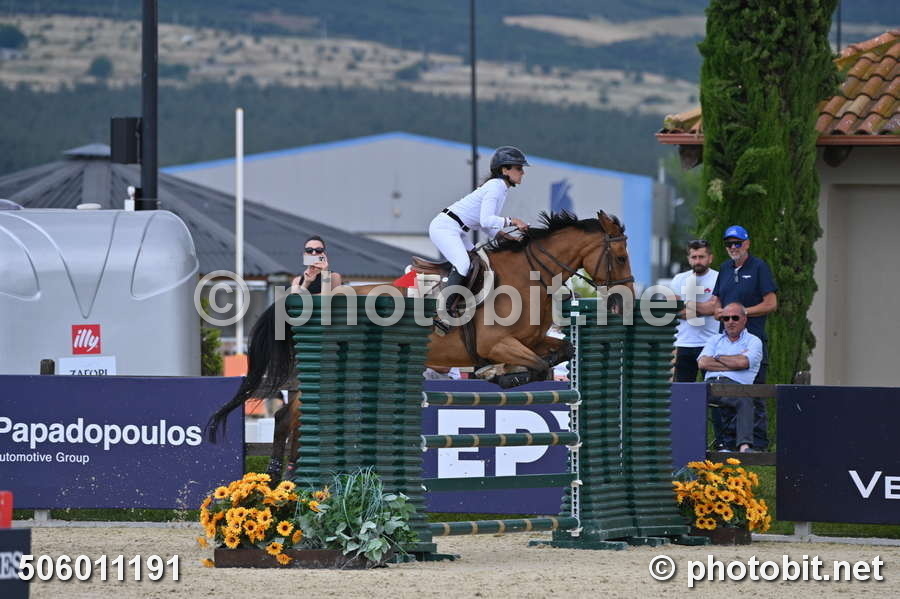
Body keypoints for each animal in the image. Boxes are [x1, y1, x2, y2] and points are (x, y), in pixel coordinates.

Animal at [207, 210, 635, 479]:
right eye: (619, 255)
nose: (623, 300)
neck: (529, 275)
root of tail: (307, 298)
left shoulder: (533, 340)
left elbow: (560, 354)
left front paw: (499, 375)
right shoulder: (501, 343)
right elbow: (539, 367)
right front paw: (499, 375)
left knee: (289, 417)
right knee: (288, 417)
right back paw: (282, 483)